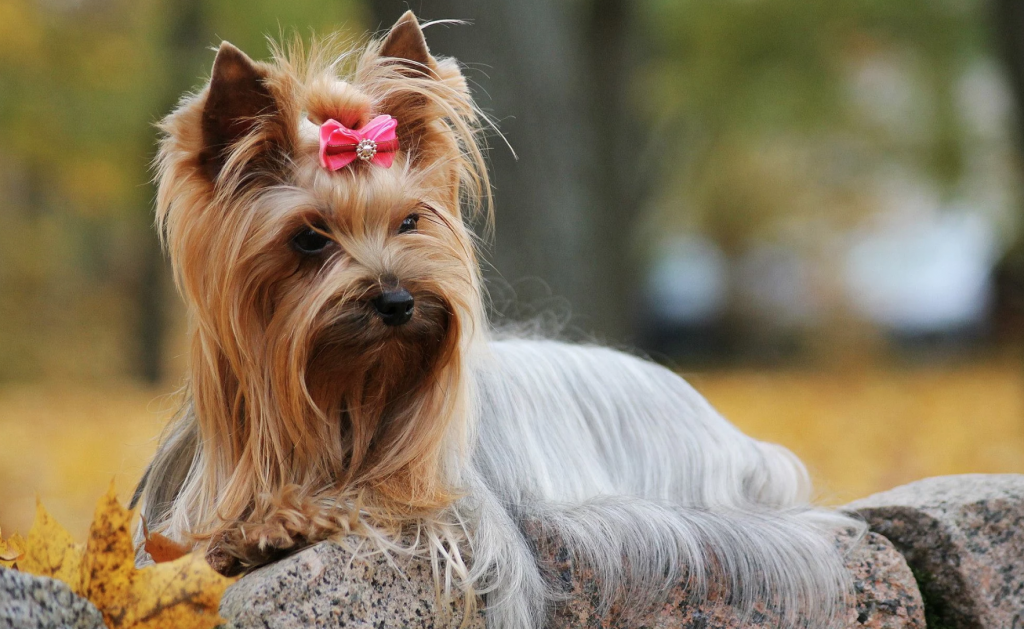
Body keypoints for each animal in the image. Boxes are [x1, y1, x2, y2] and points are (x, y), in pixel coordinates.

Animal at [132, 11, 860, 629]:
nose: (398, 302)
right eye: (309, 239)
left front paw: (302, 515)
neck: (345, 394)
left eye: (410, 221)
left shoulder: (462, 516)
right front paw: (263, 521)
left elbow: (394, 502)